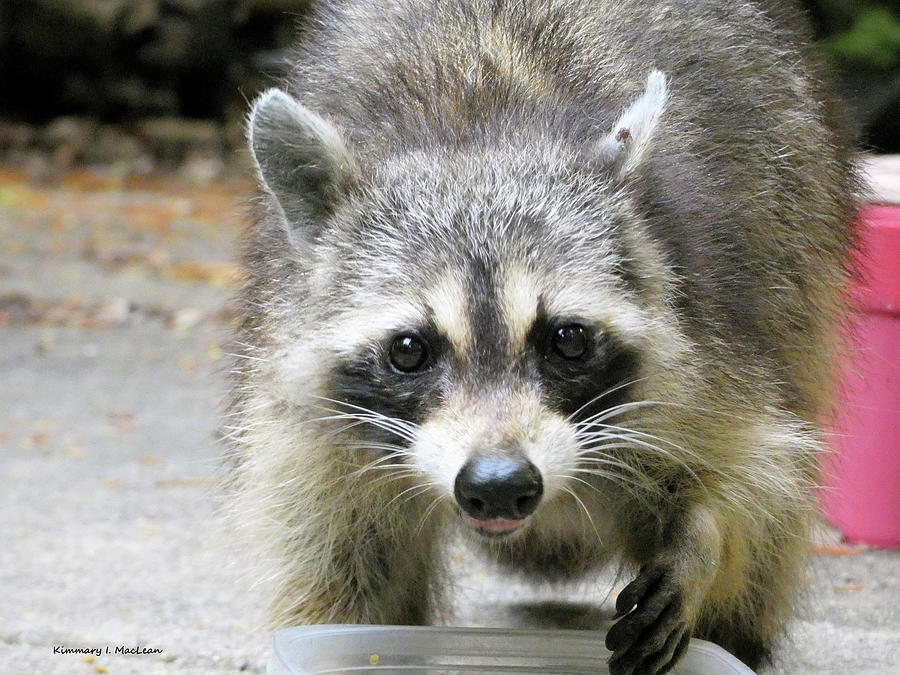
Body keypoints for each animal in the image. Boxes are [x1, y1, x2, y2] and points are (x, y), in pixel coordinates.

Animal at [227, 2, 856, 672]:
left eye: (568, 340)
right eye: (408, 351)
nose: (499, 486)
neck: (480, 130)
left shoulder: (712, 330)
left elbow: (756, 467)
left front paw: (701, 535)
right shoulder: (302, 409)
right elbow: (333, 559)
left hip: (801, 243)